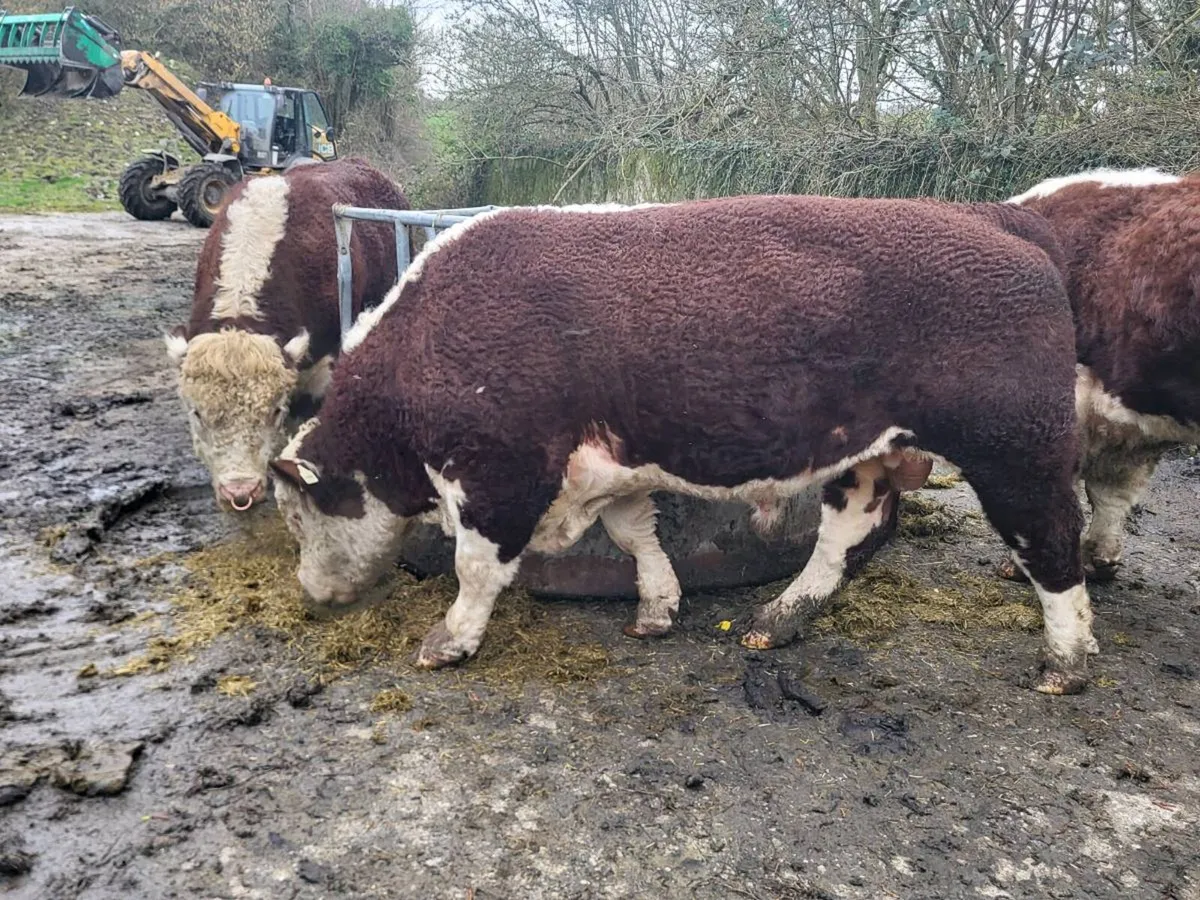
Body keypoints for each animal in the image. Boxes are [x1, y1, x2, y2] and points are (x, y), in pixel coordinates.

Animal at [269, 195, 1097, 694]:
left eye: (301, 514)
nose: (308, 596)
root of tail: (998, 219)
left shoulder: (496, 475)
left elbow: (477, 570)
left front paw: (449, 640)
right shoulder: (612, 466)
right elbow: (635, 536)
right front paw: (658, 608)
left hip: (1019, 454)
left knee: (1054, 546)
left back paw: (1065, 660)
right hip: (867, 453)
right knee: (842, 536)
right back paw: (778, 620)